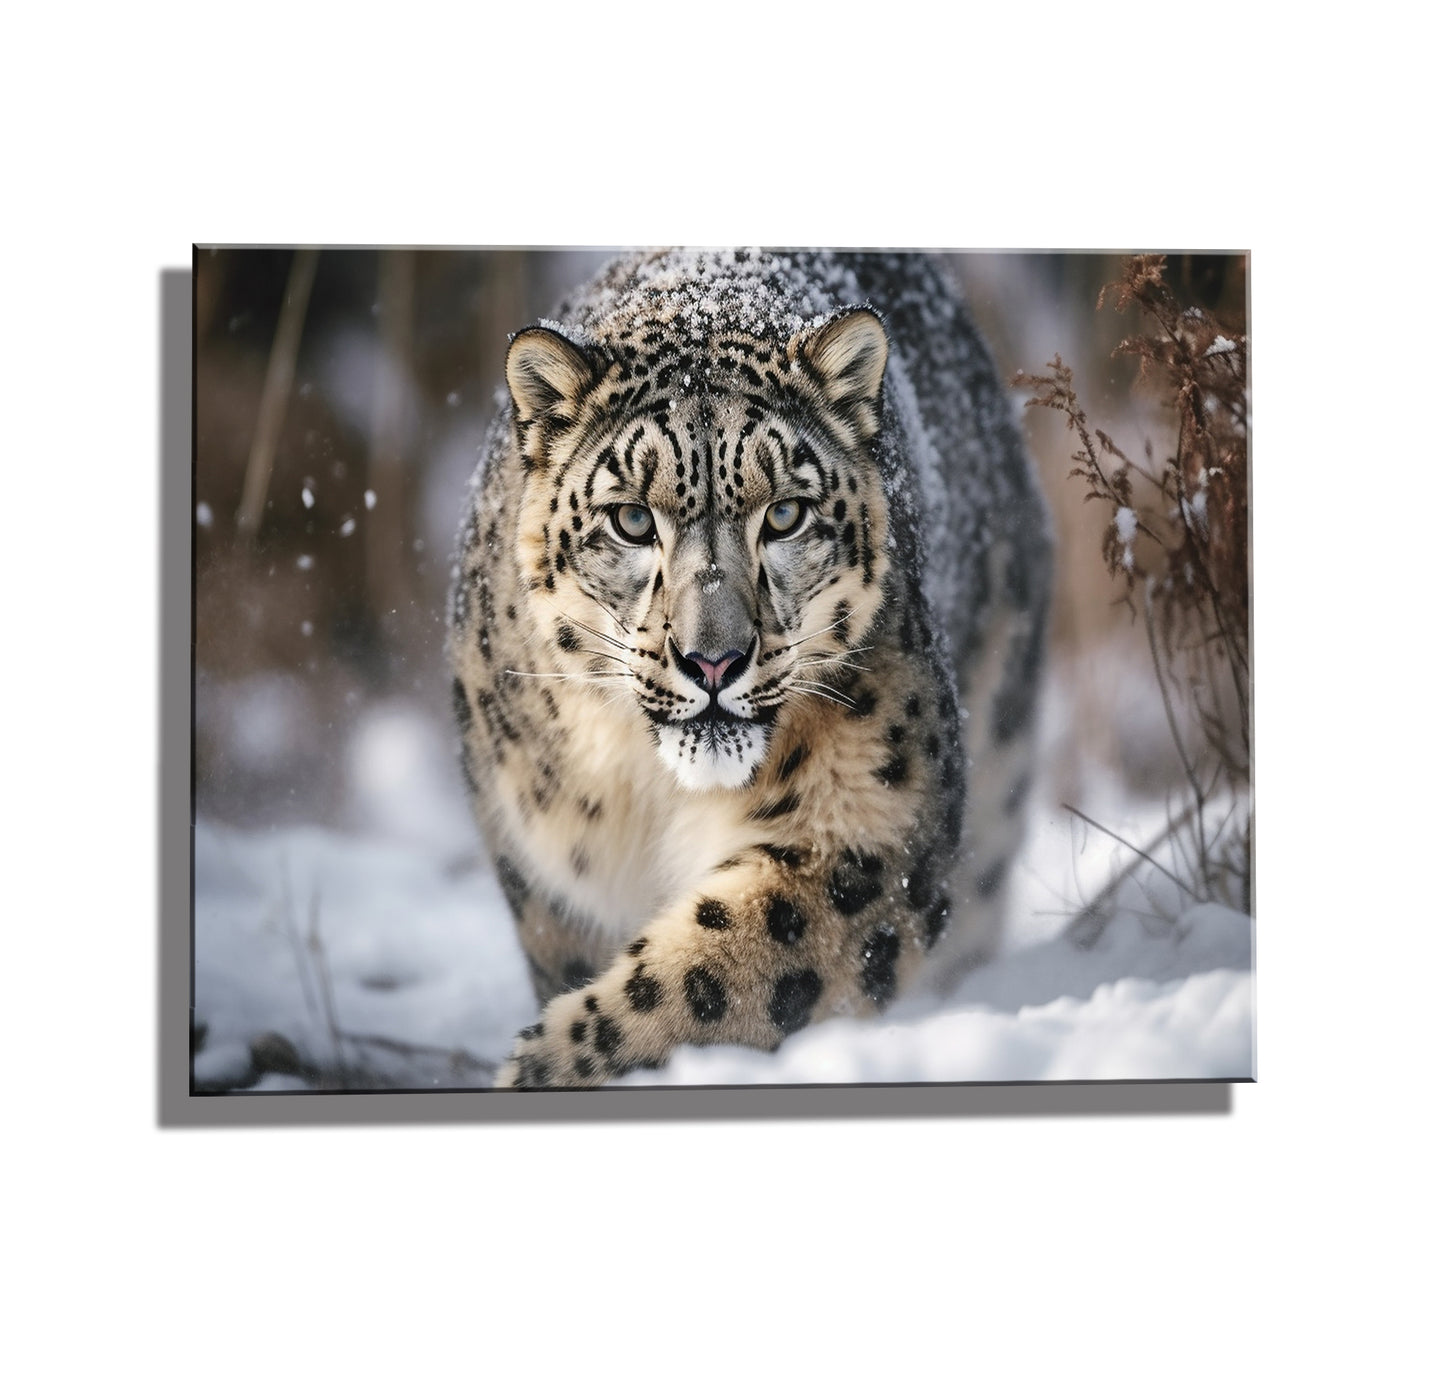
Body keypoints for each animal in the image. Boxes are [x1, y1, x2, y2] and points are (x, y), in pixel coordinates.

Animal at [448, 248, 1052, 1088]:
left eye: (785, 514)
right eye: (631, 519)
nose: (714, 659)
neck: (653, 796)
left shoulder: (864, 826)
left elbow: (716, 975)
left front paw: (551, 1065)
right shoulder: (547, 872)